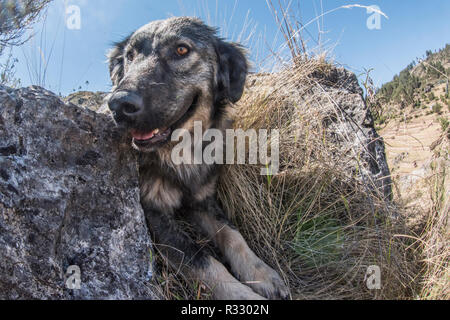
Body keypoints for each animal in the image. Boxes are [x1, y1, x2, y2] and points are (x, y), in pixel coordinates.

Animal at [106, 16, 288, 298]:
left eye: (181, 50)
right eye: (130, 56)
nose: (119, 105)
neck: (181, 152)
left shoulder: (202, 200)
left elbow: (234, 236)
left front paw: (262, 273)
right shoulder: (154, 216)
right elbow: (203, 260)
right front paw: (243, 294)